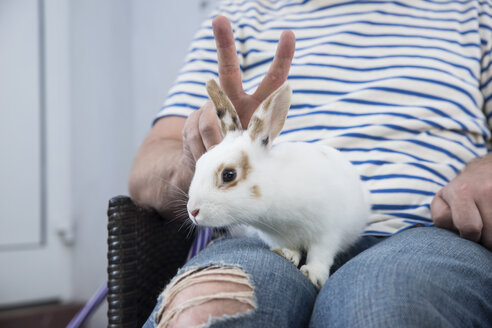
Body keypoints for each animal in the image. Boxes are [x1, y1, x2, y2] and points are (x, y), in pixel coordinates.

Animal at [187, 80, 368, 290]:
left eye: (229, 175)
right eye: (199, 163)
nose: (193, 211)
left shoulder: (327, 234)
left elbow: (320, 256)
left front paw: (312, 275)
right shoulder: (280, 237)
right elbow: (291, 248)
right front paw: (287, 255)